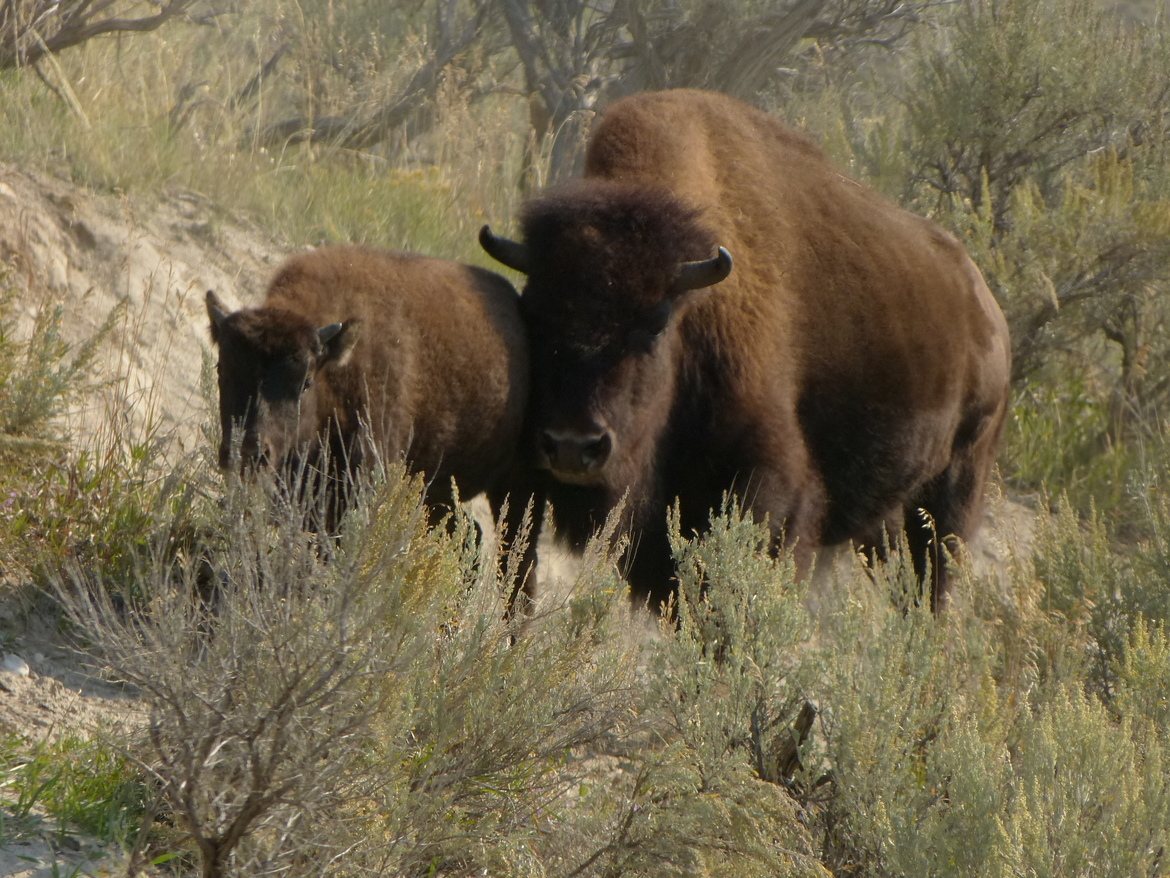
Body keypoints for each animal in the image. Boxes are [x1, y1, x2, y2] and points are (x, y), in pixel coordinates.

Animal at [481, 88, 1011, 611]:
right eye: (533, 313)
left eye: (656, 323)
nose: (574, 446)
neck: (693, 306)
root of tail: (986, 307)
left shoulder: (771, 485)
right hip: (887, 513)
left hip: (955, 484)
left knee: (934, 580)